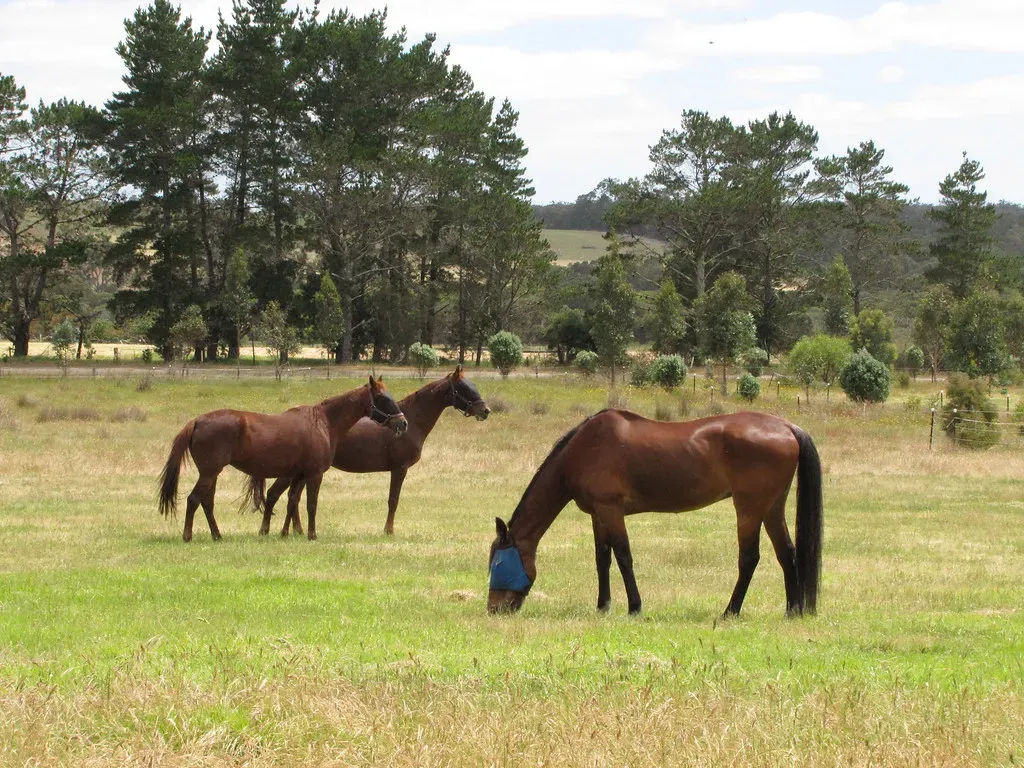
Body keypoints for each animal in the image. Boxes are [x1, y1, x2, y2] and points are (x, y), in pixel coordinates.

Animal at [158, 376, 408, 542]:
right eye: (383, 398)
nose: (403, 423)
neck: (324, 422)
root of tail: (197, 421)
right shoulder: (314, 474)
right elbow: (310, 504)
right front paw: (311, 534)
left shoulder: (298, 475)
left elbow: (292, 502)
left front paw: (285, 532)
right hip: (209, 473)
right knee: (193, 500)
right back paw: (188, 536)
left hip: (212, 474)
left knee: (207, 503)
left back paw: (217, 535)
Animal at [258, 366, 490, 536]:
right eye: (465, 388)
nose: (485, 410)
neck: (412, 420)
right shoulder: (400, 469)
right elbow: (393, 500)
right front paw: (388, 531)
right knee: (275, 494)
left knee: (292, 497)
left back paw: (296, 530)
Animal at [487, 408, 823, 618]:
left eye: (498, 563)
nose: (494, 608)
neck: (583, 450)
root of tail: (787, 427)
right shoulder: (598, 514)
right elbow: (602, 559)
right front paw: (602, 606)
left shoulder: (611, 510)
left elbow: (623, 556)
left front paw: (634, 606)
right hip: (772, 507)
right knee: (787, 553)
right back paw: (792, 610)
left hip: (749, 508)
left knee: (750, 558)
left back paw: (730, 611)